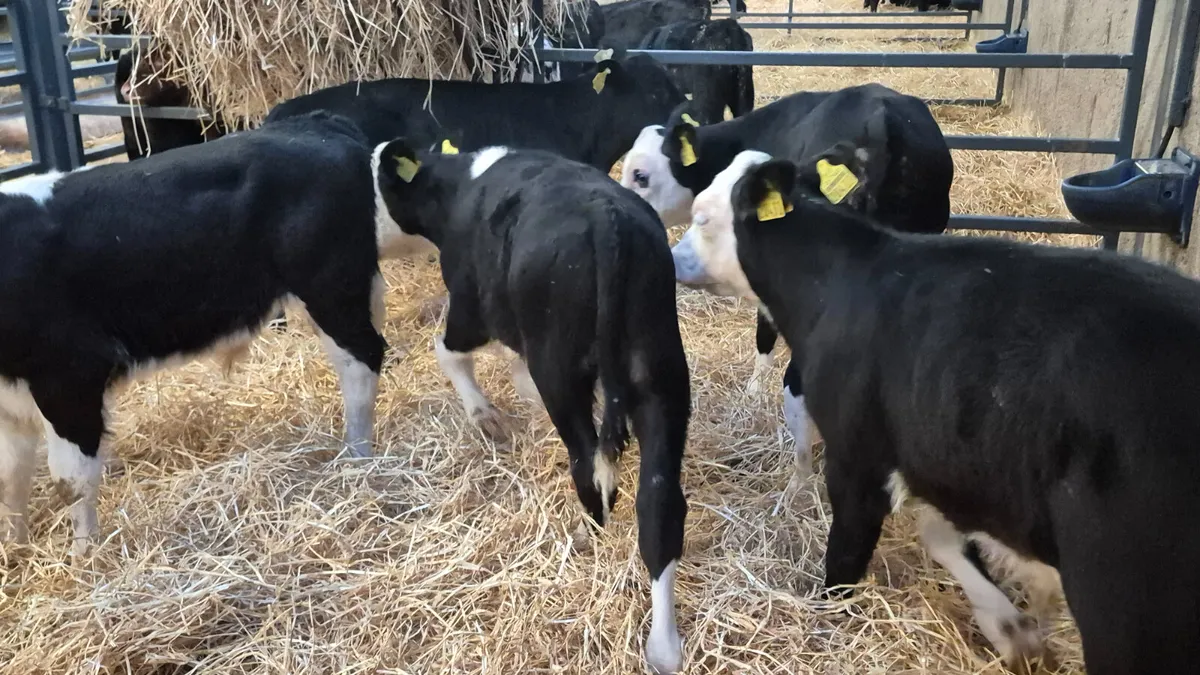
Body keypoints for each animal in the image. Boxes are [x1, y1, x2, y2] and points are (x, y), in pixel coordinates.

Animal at [0, 111, 387, 558]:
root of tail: (317, 124)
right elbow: (11, 479)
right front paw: (14, 548)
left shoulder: (70, 374)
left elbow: (71, 481)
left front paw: (84, 557)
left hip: (330, 289)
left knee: (361, 361)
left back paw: (357, 458)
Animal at [372, 140, 691, 674]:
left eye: (375, 188)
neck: (460, 186)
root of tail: (606, 221)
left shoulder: (470, 308)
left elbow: (447, 350)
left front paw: (486, 418)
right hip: (659, 373)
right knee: (658, 503)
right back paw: (664, 648)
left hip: (561, 369)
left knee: (588, 467)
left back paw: (587, 537)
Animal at [674, 148, 1200, 675]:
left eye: (702, 216)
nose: (673, 258)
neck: (831, 285)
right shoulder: (948, 467)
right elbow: (943, 537)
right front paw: (1012, 630)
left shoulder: (857, 457)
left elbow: (846, 556)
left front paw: (826, 617)